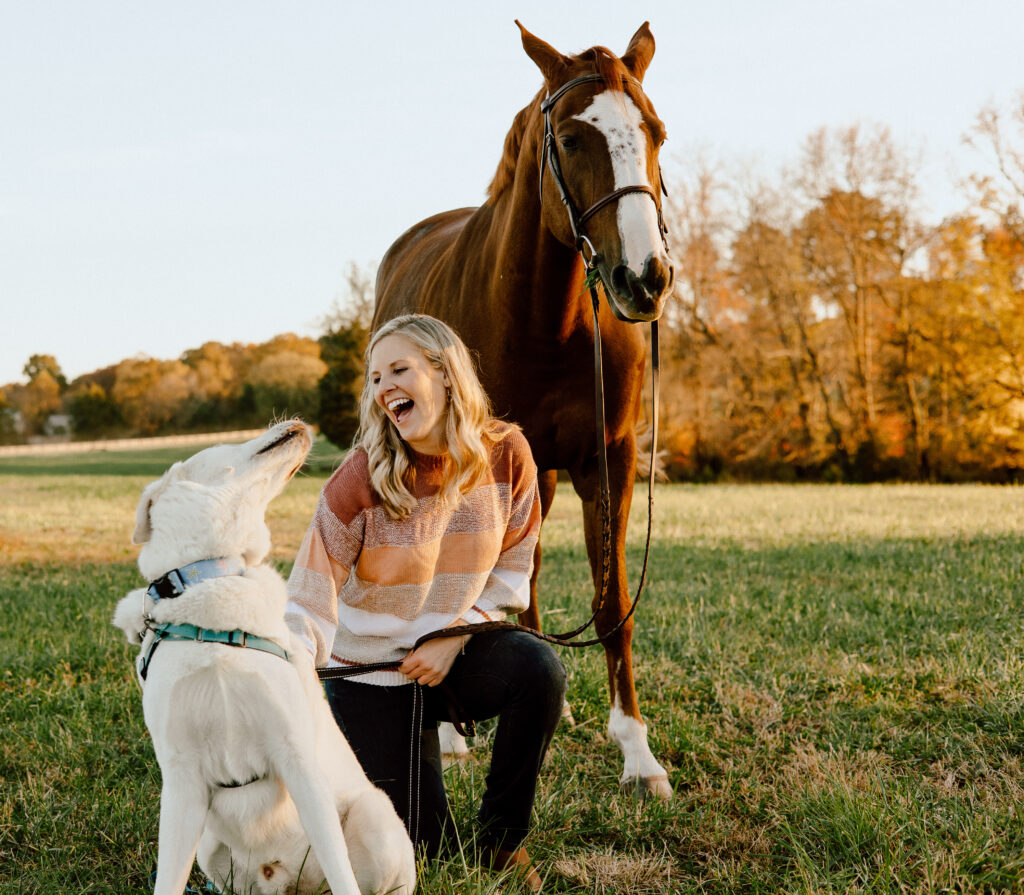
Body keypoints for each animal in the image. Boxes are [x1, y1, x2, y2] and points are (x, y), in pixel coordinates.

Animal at [112, 421, 415, 892]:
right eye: (223, 440)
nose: (299, 426)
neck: (210, 582)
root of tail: (289, 881)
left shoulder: (297, 758)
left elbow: (342, 872)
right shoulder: (180, 782)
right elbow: (168, 881)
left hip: (375, 817)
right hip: (210, 848)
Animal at [372, 20, 675, 794]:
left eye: (656, 132)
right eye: (569, 138)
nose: (645, 278)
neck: (548, 320)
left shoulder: (608, 459)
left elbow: (610, 601)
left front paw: (637, 754)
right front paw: (449, 729)